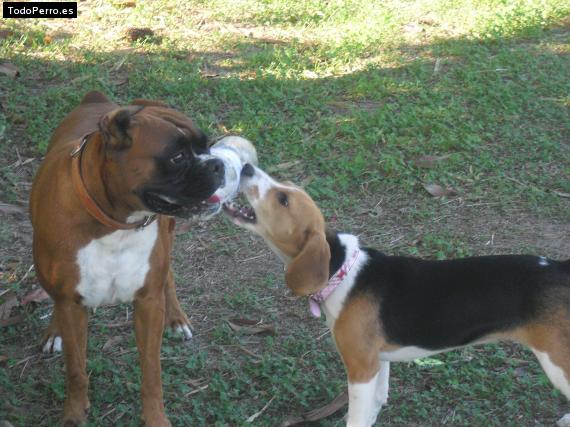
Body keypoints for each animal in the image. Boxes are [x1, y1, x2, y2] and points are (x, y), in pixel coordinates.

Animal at [30, 90, 223, 424]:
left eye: (206, 146)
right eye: (177, 157)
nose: (218, 164)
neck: (115, 224)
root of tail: (96, 98)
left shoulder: (148, 303)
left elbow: (152, 372)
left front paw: (156, 418)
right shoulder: (71, 306)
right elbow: (76, 370)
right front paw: (74, 414)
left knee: (169, 277)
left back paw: (177, 319)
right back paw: (54, 332)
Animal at [222, 164, 568, 427]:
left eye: (282, 199)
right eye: (286, 188)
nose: (247, 167)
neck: (341, 270)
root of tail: (559, 268)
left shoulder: (360, 369)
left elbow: (356, 418)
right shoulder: (379, 362)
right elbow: (377, 403)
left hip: (558, 362)